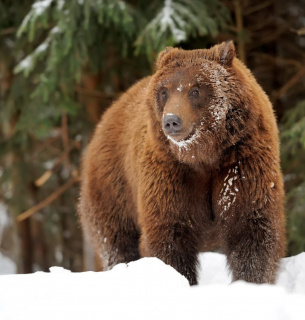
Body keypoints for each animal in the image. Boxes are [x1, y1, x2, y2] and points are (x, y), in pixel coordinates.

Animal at [78, 40, 282, 284]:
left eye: (195, 90)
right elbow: (169, 235)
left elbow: (251, 229)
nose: (172, 121)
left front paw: (251, 281)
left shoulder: (241, 164)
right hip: (114, 190)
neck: (203, 156)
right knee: (116, 242)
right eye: (164, 92)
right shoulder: (170, 174)